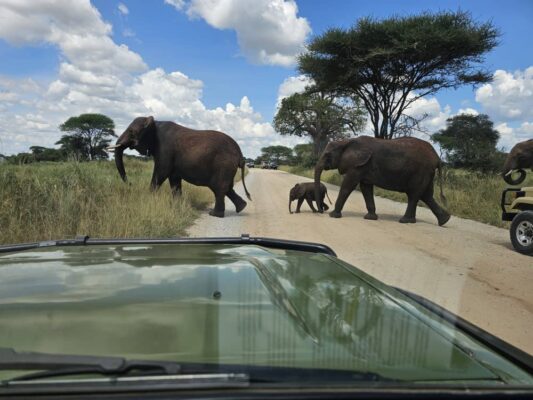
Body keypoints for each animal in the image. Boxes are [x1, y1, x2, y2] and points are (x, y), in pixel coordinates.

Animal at [107, 117, 251, 217]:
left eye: (131, 132)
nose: (130, 184)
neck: (155, 122)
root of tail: (240, 154)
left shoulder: (165, 149)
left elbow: (161, 172)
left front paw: (148, 199)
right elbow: (174, 180)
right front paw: (176, 206)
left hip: (223, 165)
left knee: (219, 188)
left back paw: (215, 214)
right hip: (227, 167)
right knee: (227, 188)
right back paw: (242, 208)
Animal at [314, 137, 450, 225]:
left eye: (327, 155)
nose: (321, 211)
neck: (345, 141)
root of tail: (437, 158)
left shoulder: (358, 165)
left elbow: (348, 185)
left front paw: (333, 216)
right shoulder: (364, 166)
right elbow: (366, 188)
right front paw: (370, 218)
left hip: (421, 171)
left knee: (414, 195)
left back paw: (404, 221)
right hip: (427, 173)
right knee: (426, 195)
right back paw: (443, 221)